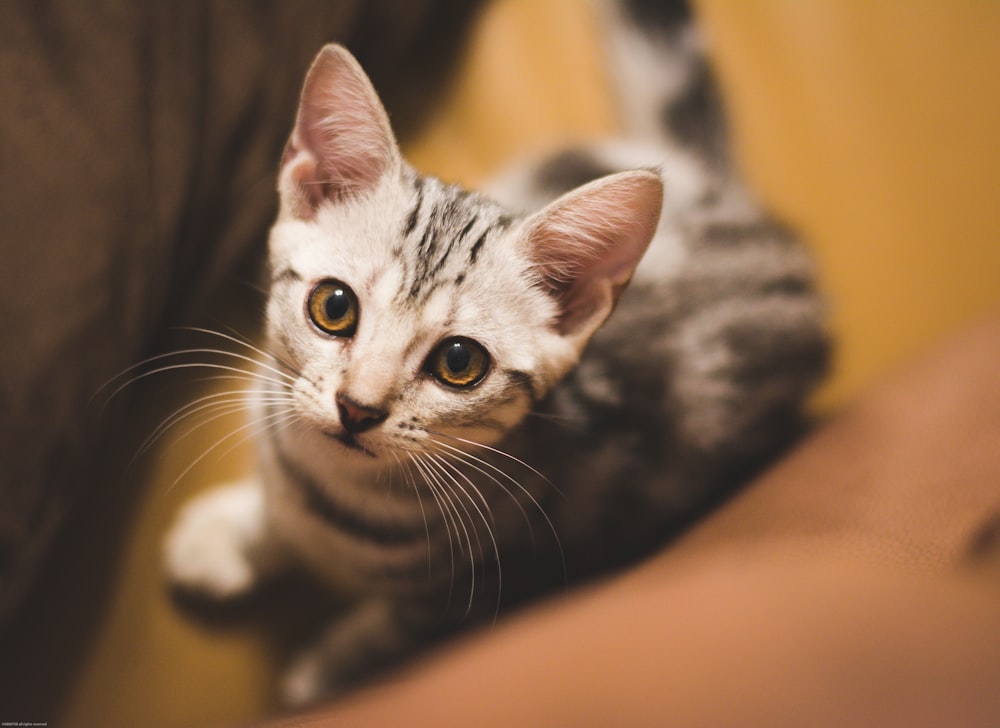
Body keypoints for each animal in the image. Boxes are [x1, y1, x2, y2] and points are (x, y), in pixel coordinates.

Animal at [166, 5, 828, 704]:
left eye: (460, 363)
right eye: (334, 306)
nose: (357, 407)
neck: (332, 491)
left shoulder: (495, 583)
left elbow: (388, 632)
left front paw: (327, 674)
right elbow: (277, 504)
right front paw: (235, 532)